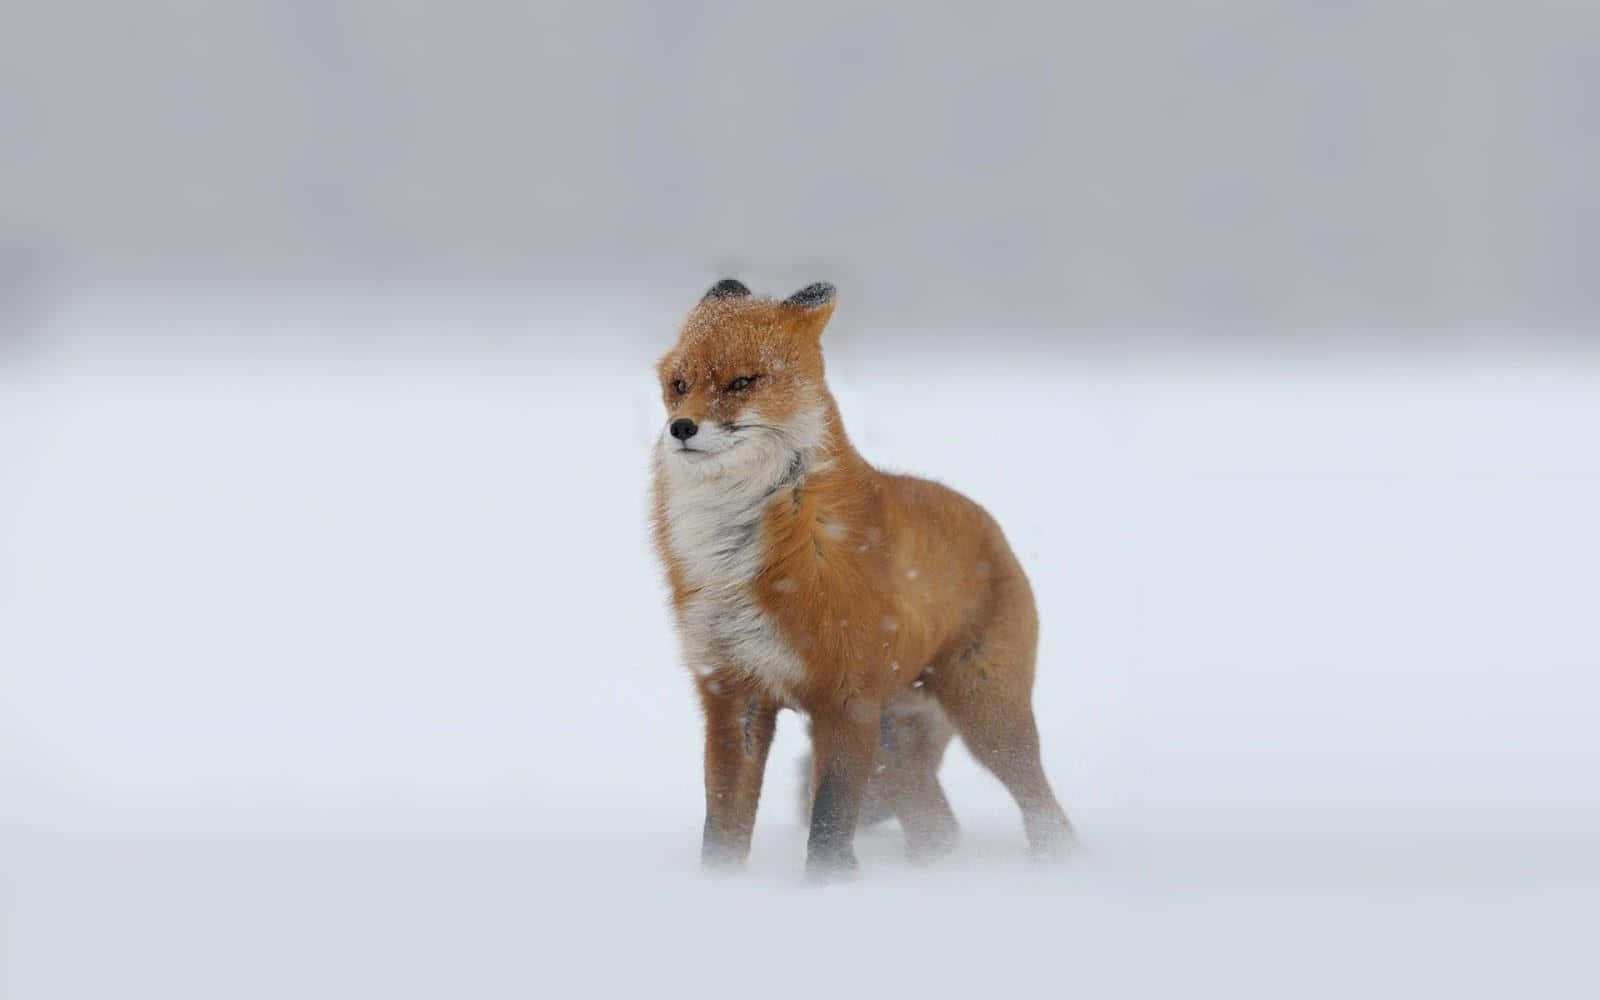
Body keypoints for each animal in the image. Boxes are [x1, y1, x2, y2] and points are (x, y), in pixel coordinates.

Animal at [651, 279, 1075, 877]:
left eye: (741, 382)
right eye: (679, 384)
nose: (681, 428)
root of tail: (991, 526)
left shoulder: (845, 698)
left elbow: (829, 824)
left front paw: (827, 888)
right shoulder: (733, 694)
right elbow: (723, 827)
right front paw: (720, 886)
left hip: (987, 720)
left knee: (1043, 808)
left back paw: (1060, 865)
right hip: (893, 742)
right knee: (938, 827)